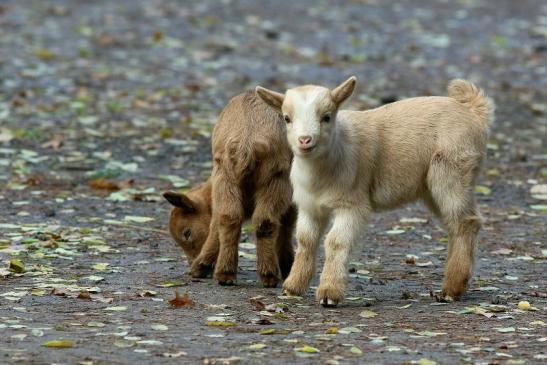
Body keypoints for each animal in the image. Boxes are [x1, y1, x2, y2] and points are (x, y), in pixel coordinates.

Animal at [164, 91, 296, 288]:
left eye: (187, 233)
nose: (191, 262)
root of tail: (247, 141)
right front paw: (287, 264)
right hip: (275, 179)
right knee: (264, 221)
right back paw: (267, 275)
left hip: (227, 176)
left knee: (228, 218)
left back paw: (222, 273)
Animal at [260, 78, 494, 306]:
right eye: (287, 118)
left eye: (326, 117)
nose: (305, 140)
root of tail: (473, 111)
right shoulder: (309, 206)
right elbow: (305, 240)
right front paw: (293, 287)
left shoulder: (352, 204)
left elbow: (336, 241)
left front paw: (329, 293)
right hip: (432, 187)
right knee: (454, 224)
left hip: (453, 171)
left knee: (466, 222)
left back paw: (451, 290)